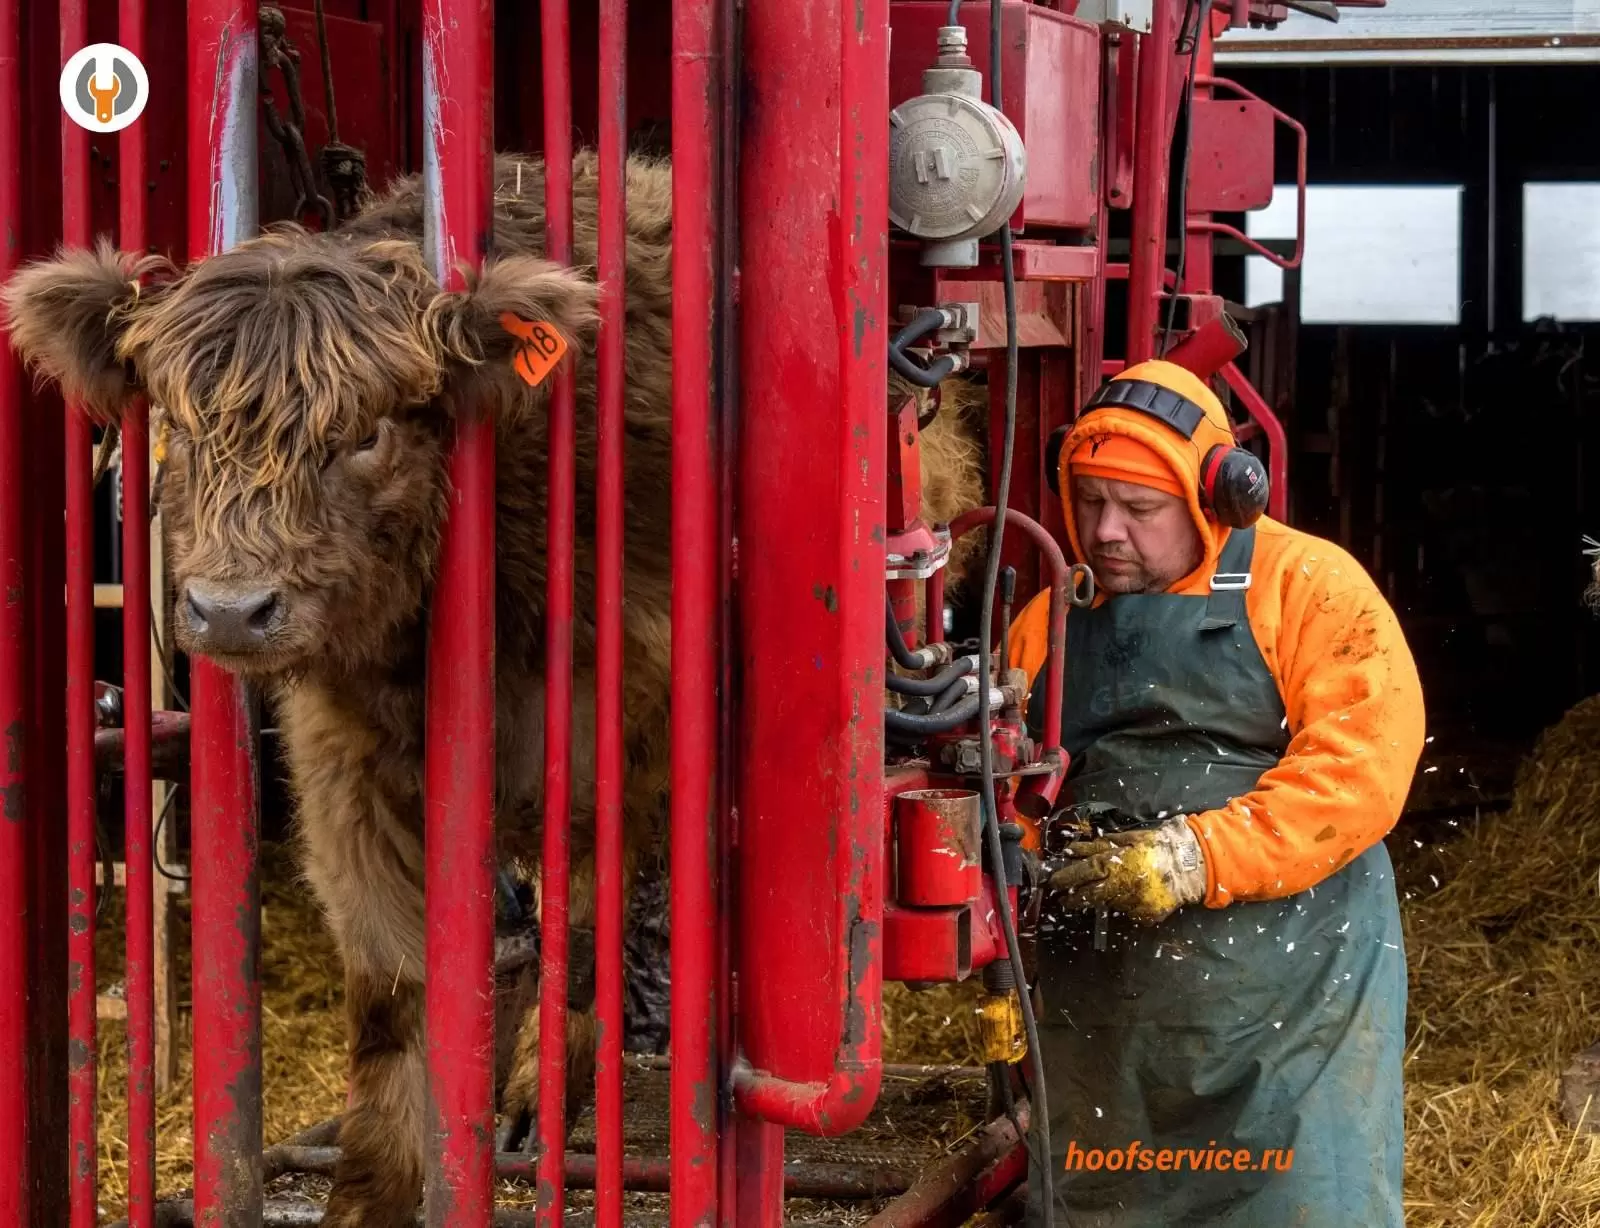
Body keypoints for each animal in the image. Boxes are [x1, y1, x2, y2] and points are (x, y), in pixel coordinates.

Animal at [3, 148, 985, 1221]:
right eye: (178, 429)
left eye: (369, 433)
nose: (230, 609)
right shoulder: (345, 768)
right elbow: (398, 991)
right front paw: (376, 1189)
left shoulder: (615, 744)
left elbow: (586, 944)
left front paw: (540, 1102)